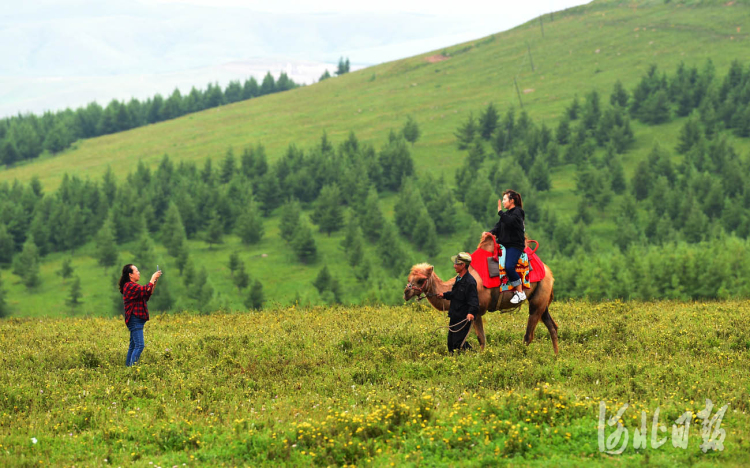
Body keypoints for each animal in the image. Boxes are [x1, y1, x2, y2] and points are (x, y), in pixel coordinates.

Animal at [406, 232, 560, 352]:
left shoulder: (476, 311)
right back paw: (556, 356)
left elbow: (481, 339)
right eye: (409, 278)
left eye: (421, 280)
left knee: (529, 334)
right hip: (542, 299)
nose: (406, 292)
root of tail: (549, 272)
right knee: (552, 326)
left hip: (539, 297)